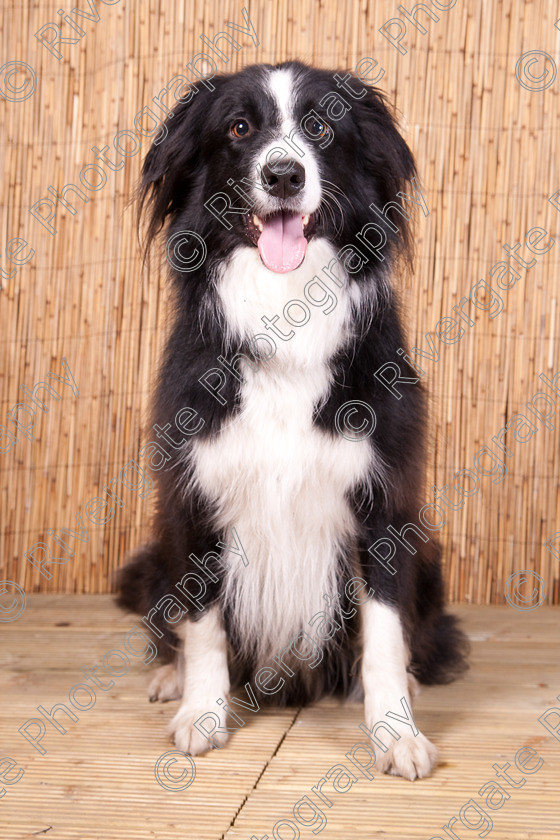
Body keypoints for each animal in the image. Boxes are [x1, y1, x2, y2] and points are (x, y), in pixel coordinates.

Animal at [118, 59, 468, 780]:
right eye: (239, 127)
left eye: (321, 127)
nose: (285, 175)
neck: (285, 316)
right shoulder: (195, 497)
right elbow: (204, 626)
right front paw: (202, 711)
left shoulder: (383, 505)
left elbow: (385, 634)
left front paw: (396, 732)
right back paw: (170, 676)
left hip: (428, 553)